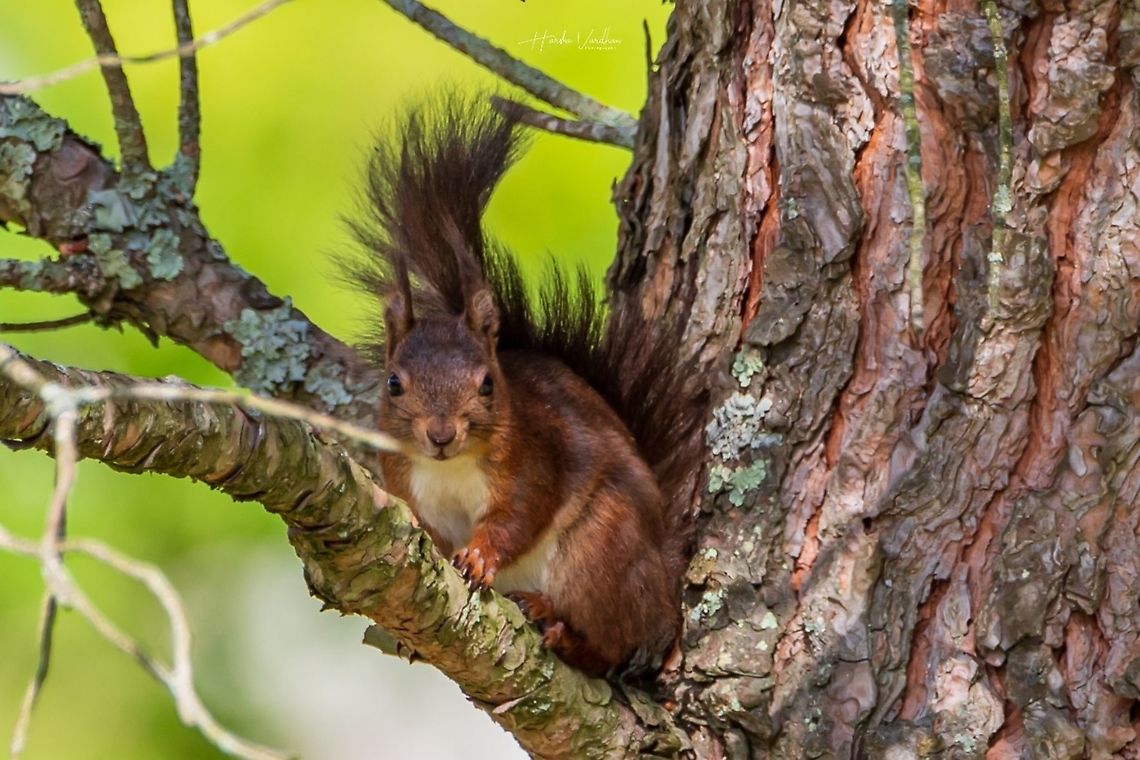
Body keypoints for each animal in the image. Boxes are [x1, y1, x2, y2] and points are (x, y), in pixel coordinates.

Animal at [343, 95, 703, 676]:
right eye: (393, 383)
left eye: (488, 384)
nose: (440, 435)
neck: (452, 469)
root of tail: (665, 588)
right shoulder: (404, 480)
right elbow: (429, 530)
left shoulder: (536, 460)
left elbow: (518, 517)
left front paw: (478, 556)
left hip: (601, 549)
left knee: (613, 644)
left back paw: (559, 627)